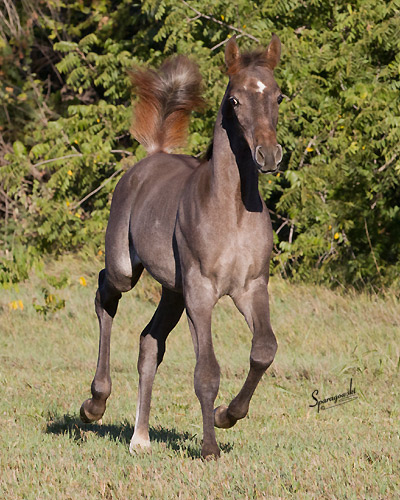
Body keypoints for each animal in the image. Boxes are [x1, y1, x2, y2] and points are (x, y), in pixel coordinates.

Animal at [80, 35, 282, 458]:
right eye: (235, 100)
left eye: (278, 96)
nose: (269, 155)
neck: (232, 210)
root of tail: (153, 155)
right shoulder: (201, 292)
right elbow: (206, 370)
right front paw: (209, 448)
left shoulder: (252, 287)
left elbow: (263, 349)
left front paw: (226, 415)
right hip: (128, 269)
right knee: (106, 291)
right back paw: (94, 404)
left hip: (173, 291)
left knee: (149, 342)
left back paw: (140, 438)